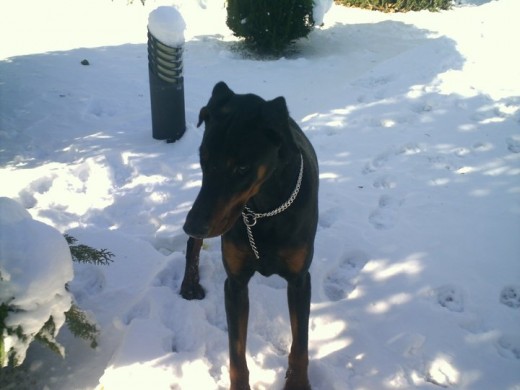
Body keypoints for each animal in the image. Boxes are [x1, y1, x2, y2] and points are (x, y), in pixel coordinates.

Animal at [181, 82, 318, 390]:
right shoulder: (235, 284)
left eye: (242, 168)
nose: (192, 225)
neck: (265, 208)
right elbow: (236, 354)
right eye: (203, 158)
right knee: (192, 247)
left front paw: (297, 382)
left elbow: (300, 344)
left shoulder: (300, 280)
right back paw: (189, 283)